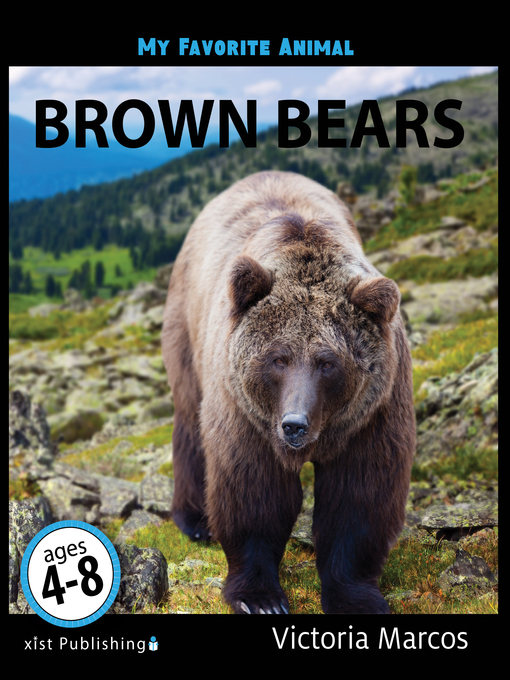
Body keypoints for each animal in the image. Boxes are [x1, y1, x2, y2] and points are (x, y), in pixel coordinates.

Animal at [162, 171, 416, 614]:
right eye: (278, 358)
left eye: (328, 362)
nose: (294, 425)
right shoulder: (247, 412)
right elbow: (254, 490)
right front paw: (261, 597)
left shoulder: (372, 413)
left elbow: (360, 496)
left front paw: (355, 597)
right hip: (188, 329)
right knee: (191, 418)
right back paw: (195, 520)